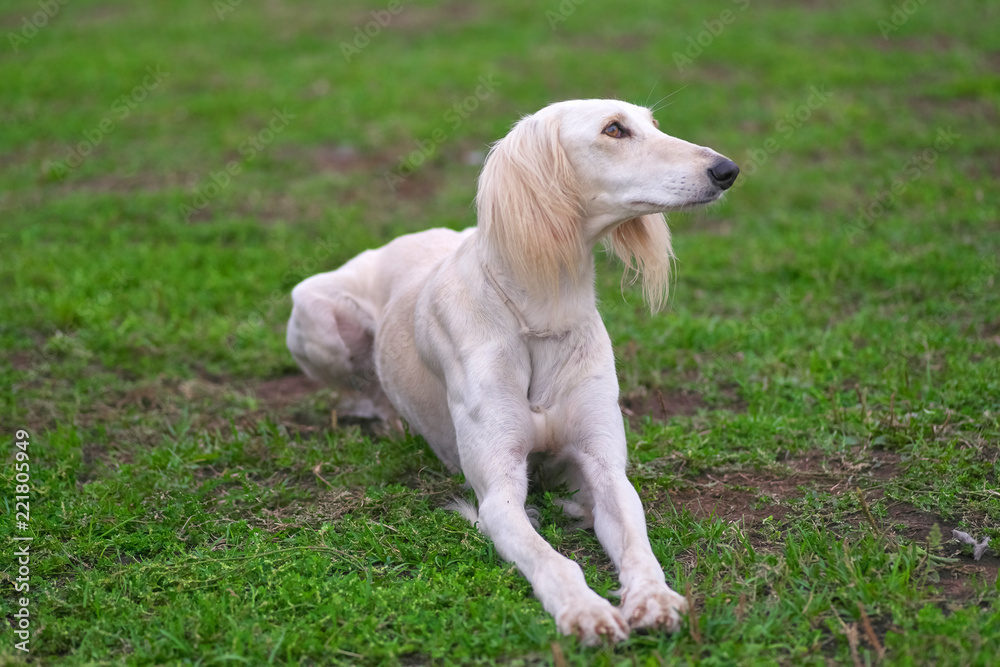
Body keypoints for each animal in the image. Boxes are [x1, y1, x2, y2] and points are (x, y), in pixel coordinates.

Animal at [286, 98, 740, 640]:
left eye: (652, 123)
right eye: (614, 130)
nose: (727, 169)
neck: (542, 317)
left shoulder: (604, 469)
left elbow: (636, 543)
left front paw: (654, 598)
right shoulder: (499, 496)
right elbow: (553, 560)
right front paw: (584, 610)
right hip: (314, 311)